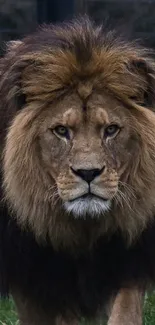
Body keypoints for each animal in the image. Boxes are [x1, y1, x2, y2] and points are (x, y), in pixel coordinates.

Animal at [0, 15, 155, 324]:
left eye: (111, 129)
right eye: (61, 131)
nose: (88, 173)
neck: (83, 229)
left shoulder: (128, 259)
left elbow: (125, 311)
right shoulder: (35, 280)